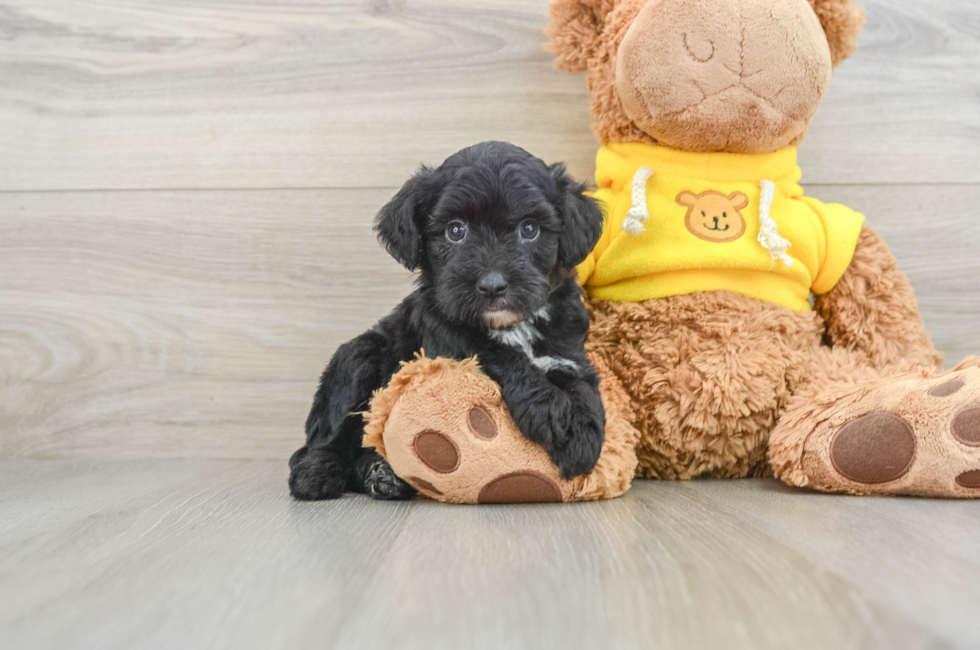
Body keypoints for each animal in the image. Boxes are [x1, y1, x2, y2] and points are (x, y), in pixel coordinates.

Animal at [288, 139, 604, 498]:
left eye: (530, 229)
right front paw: (550, 411)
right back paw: (318, 474)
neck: (510, 325)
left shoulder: (567, 351)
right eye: (456, 230)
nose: (492, 285)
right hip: (358, 359)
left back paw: (383, 474)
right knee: (334, 434)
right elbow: (499, 356)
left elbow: (581, 384)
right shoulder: (449, 342)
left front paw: (581, 435)